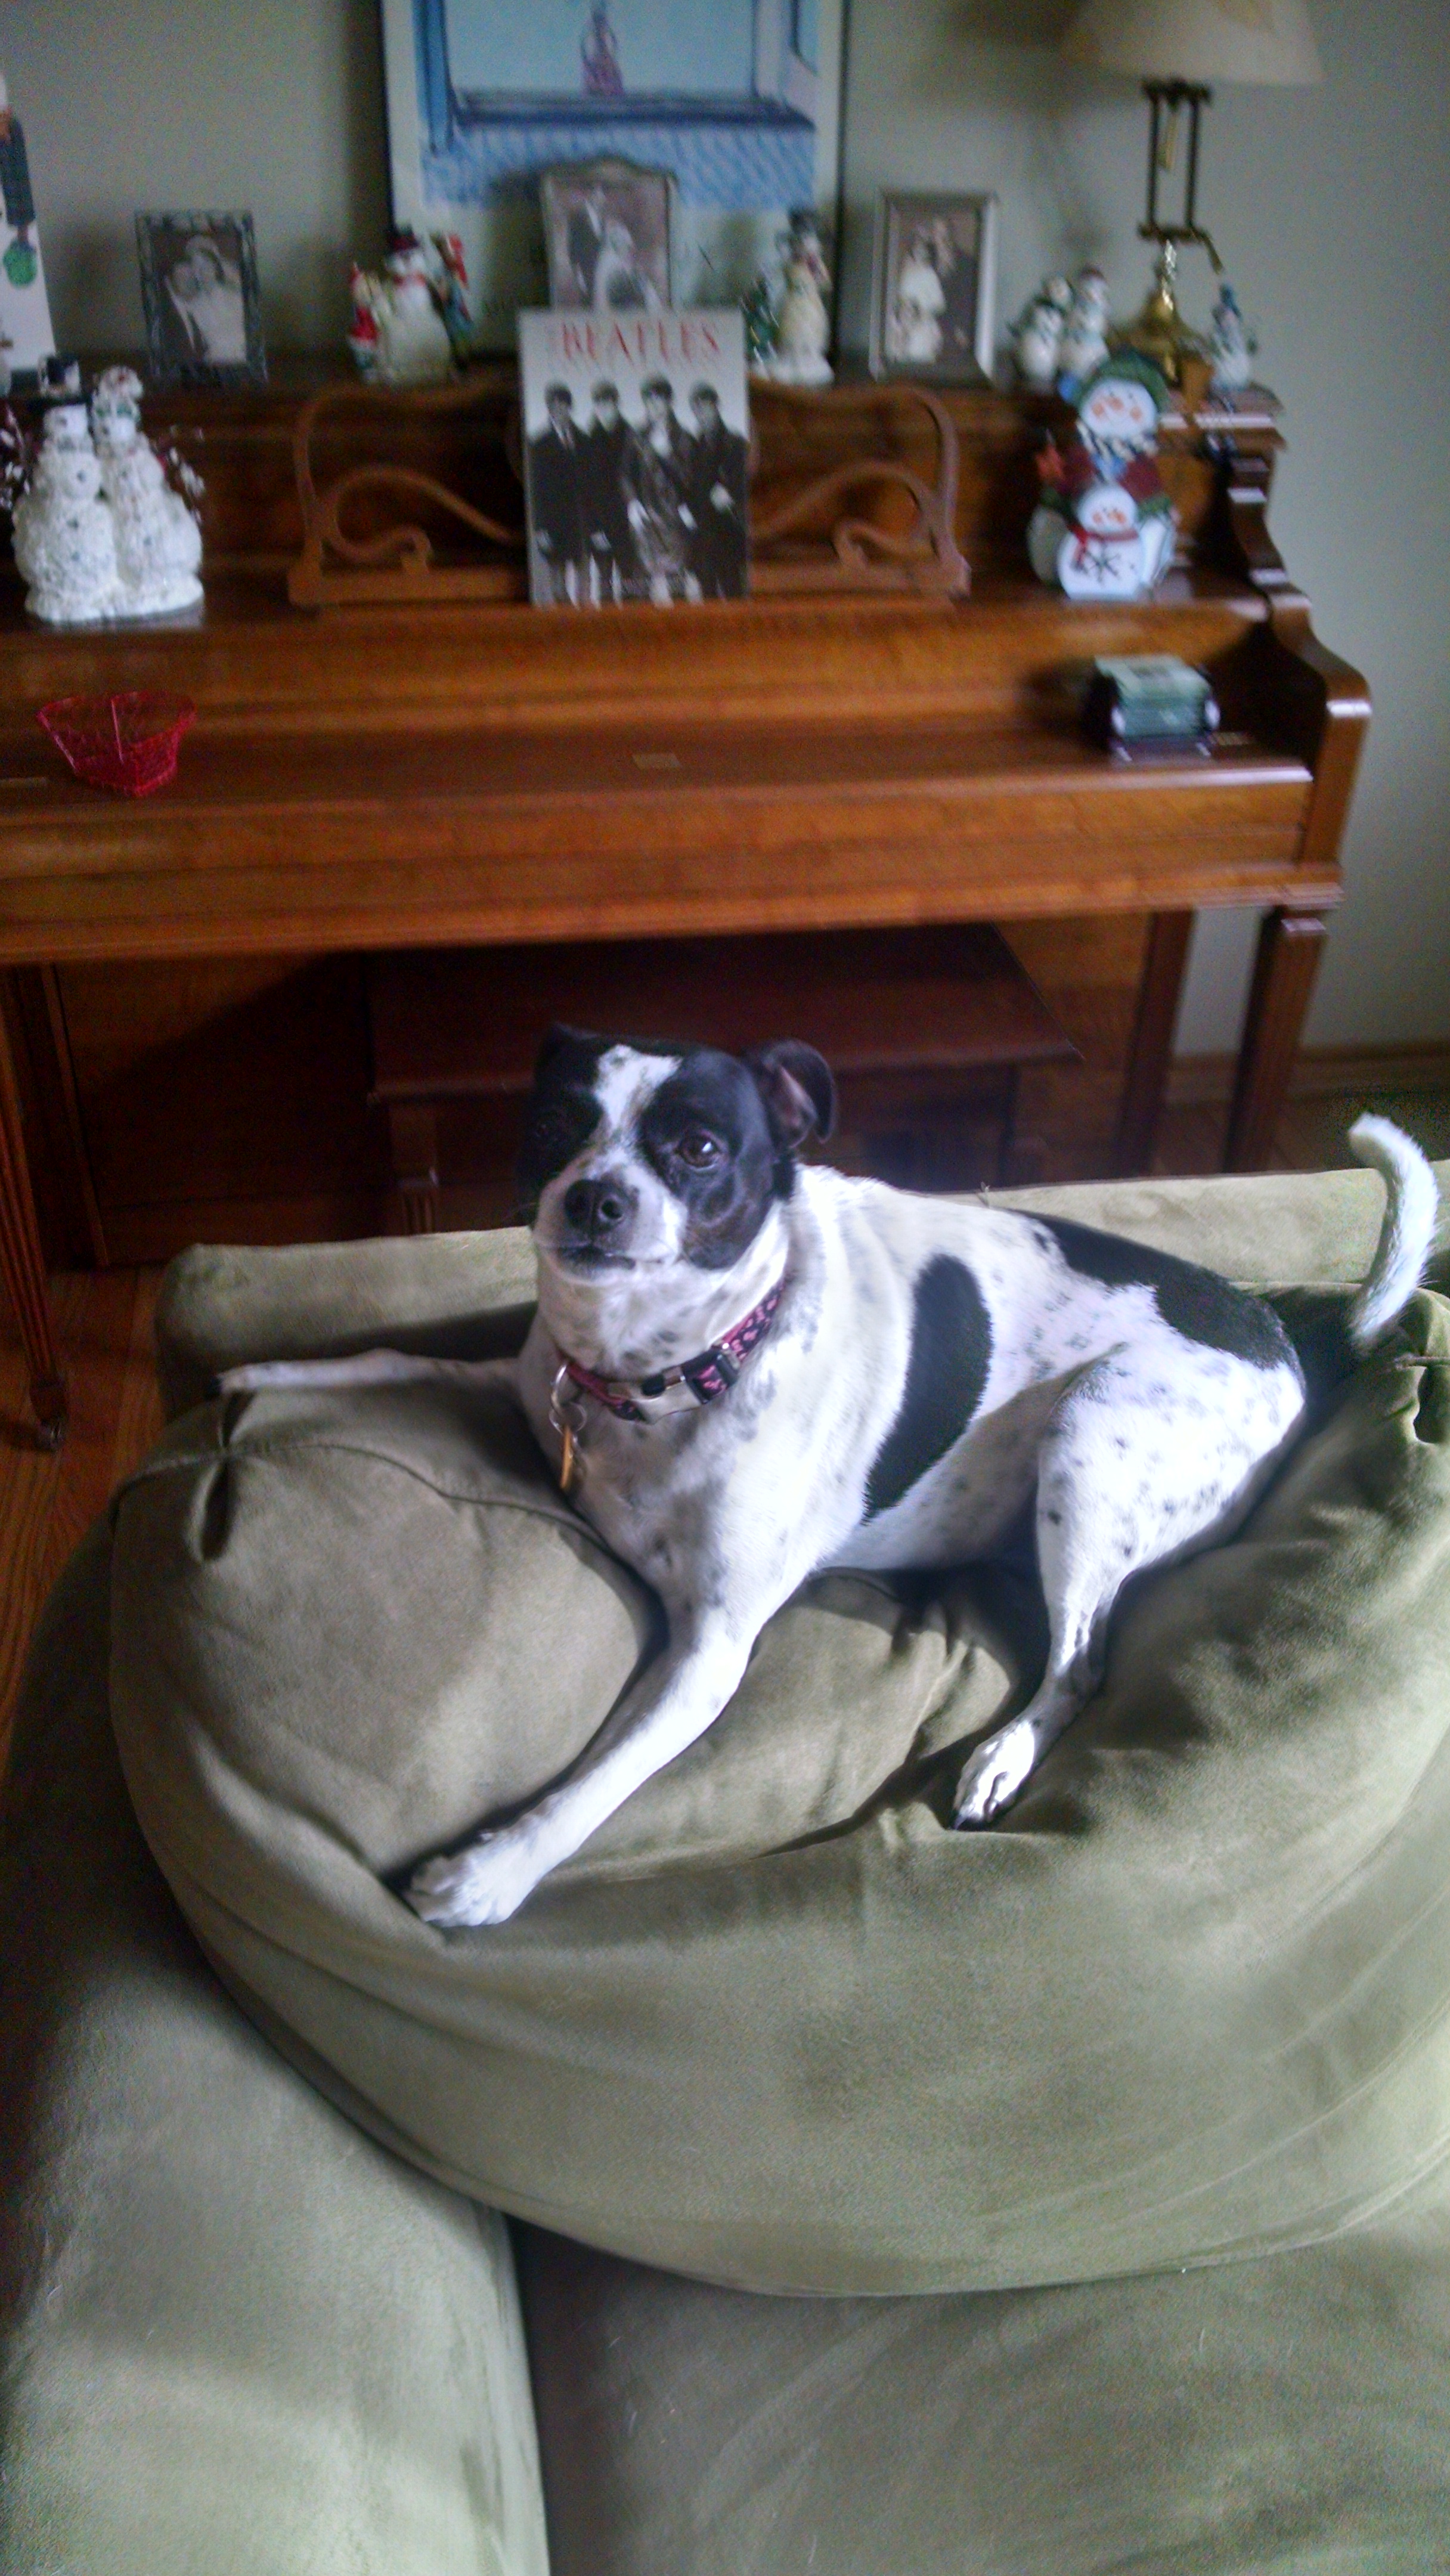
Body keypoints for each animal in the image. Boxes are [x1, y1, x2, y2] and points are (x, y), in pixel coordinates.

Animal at [227, 1035, 1442, 1927]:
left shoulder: (709, 1653)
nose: (595, 1198)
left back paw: (1000, 1757)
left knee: (1080, 1665)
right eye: (557, 1126)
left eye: (699, 1147)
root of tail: (1288, 1335)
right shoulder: (528, 1384)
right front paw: (261, 1377)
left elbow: (603, 1778)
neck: (664, 1371)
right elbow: (400, 1359)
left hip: (1090, 1442)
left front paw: (492, 1872)